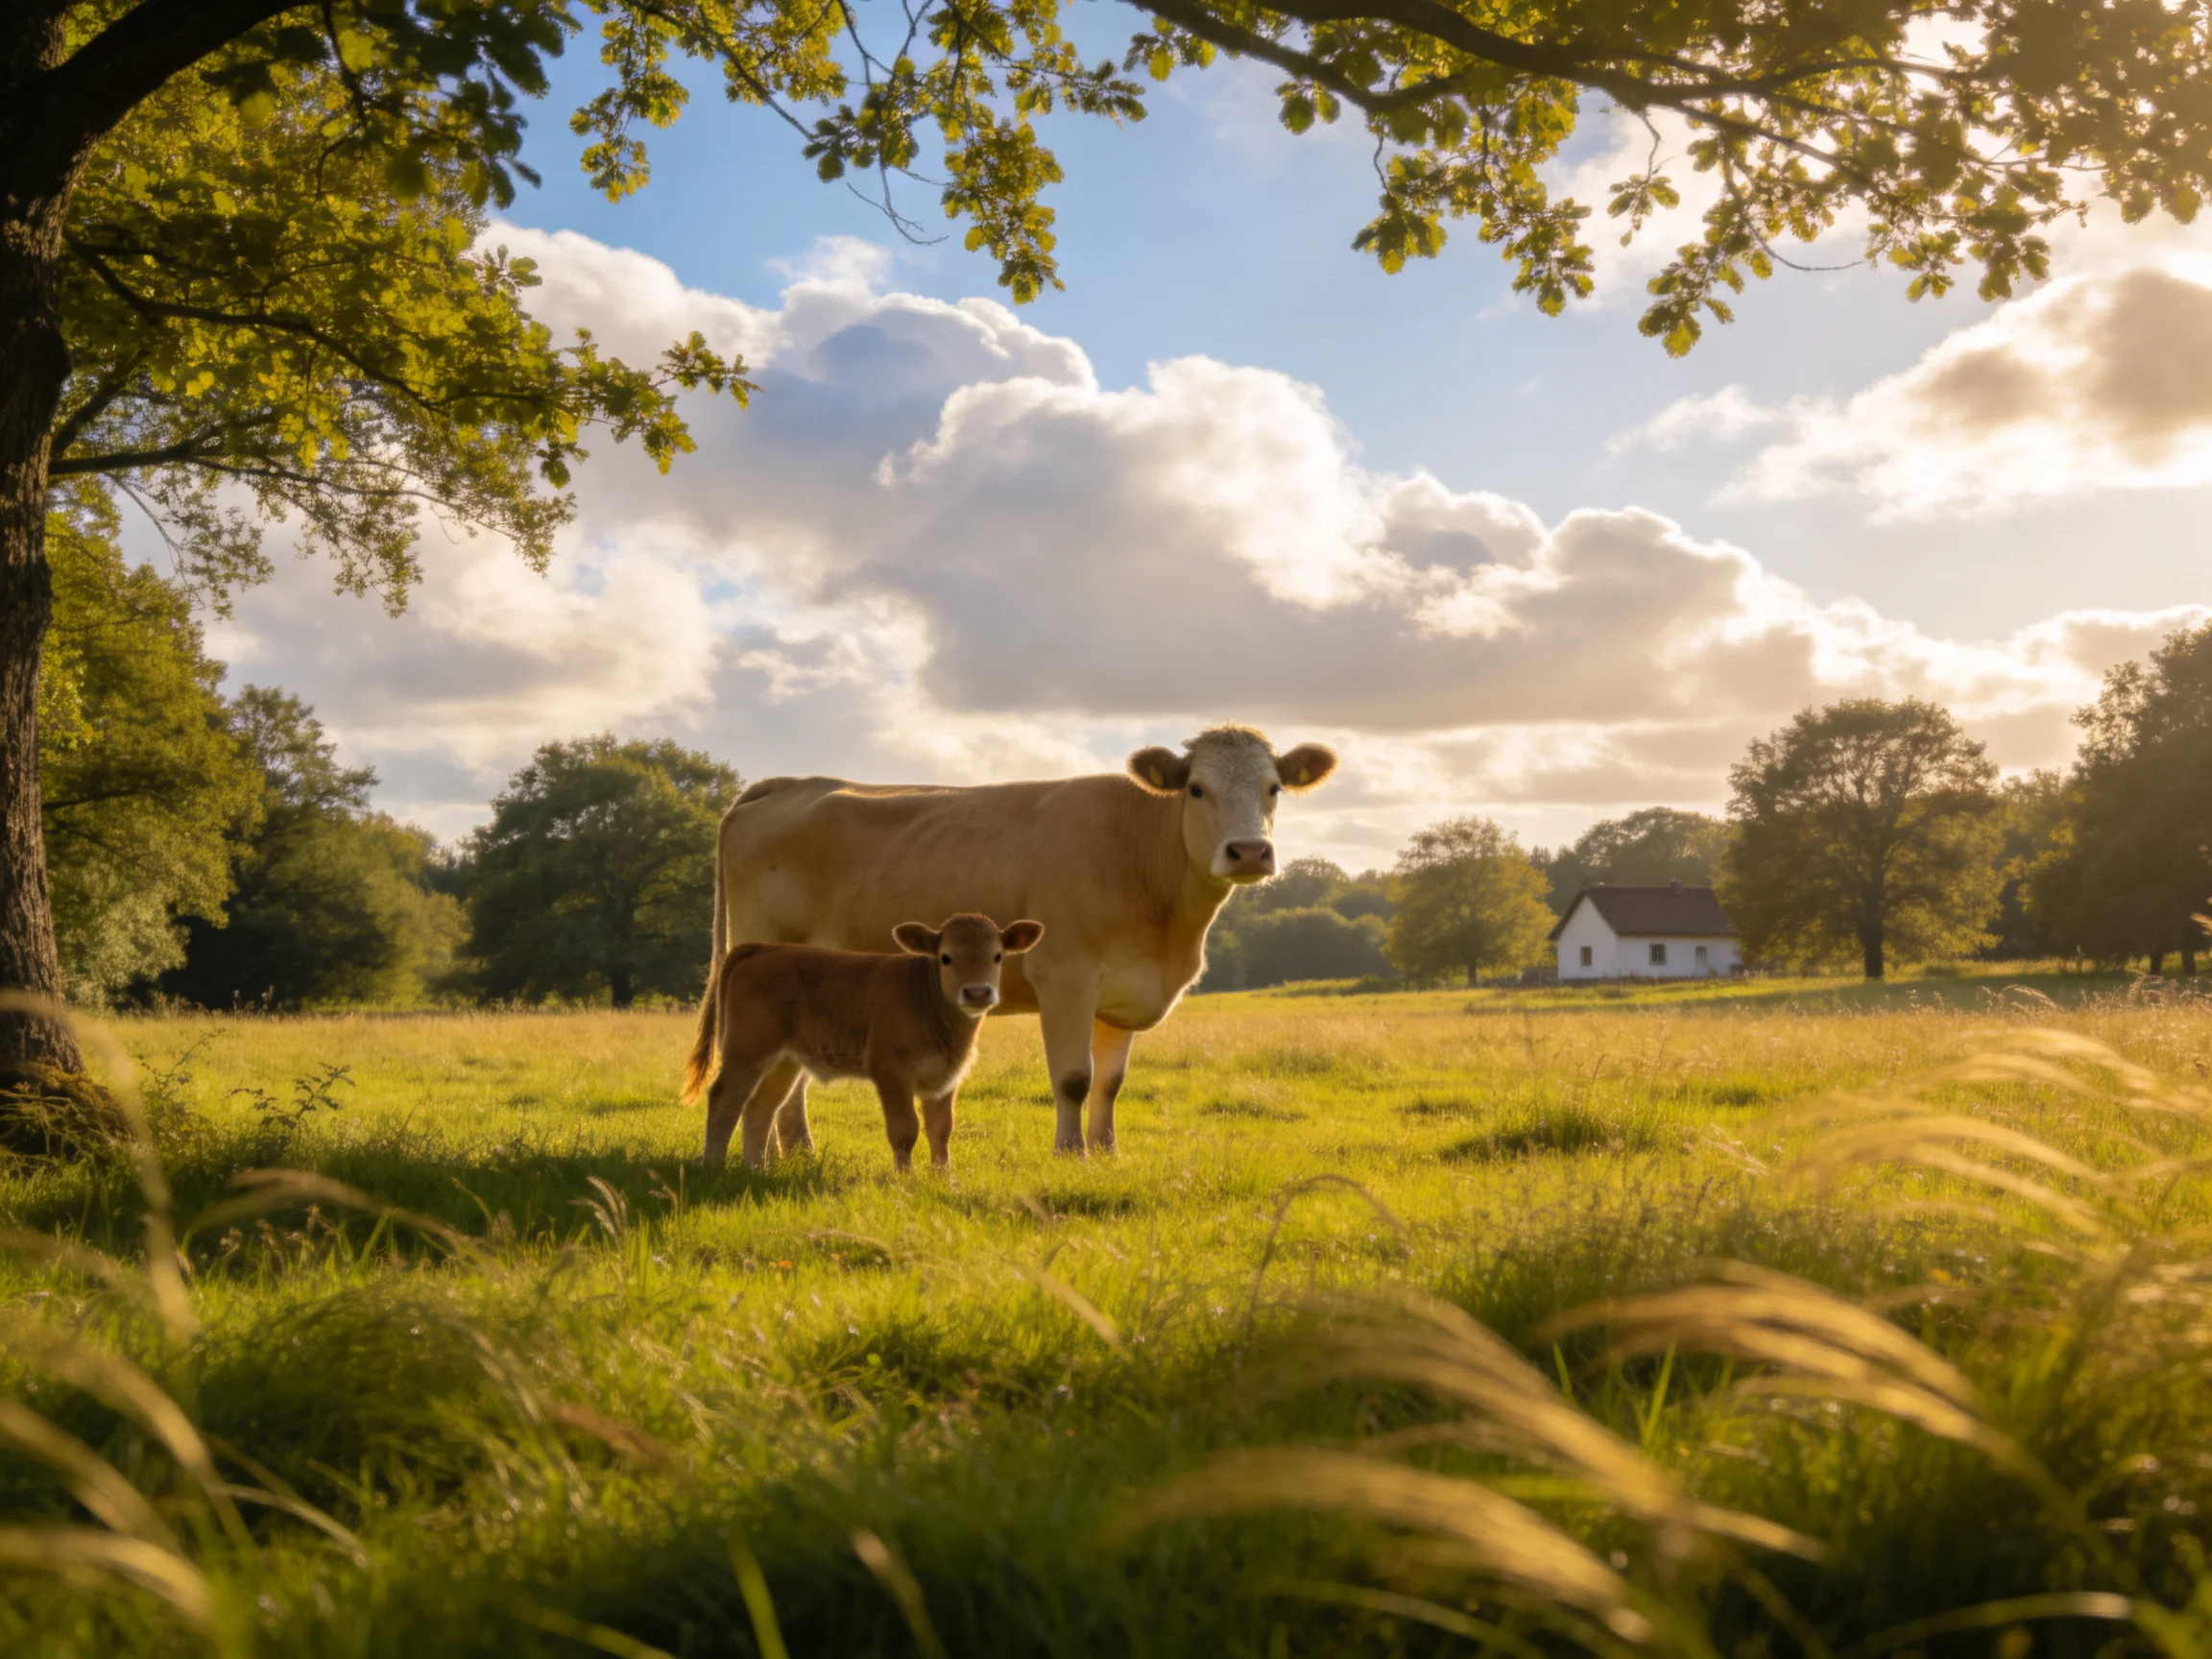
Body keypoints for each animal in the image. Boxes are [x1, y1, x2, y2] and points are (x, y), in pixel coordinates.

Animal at [682, 913, 1044, 1169]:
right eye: (946, 957)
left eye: (997, 956)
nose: (978, 993)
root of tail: (762, 948)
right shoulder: (891, 1070)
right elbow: (905, 1131)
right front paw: (906, 1182)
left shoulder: (944, 1077)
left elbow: (941, 1131)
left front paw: (944, 1182)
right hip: (747, 1050)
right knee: (725, 1098)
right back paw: (713, 1165)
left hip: (784, 1061)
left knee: (760, 1107)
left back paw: (756, 1169)